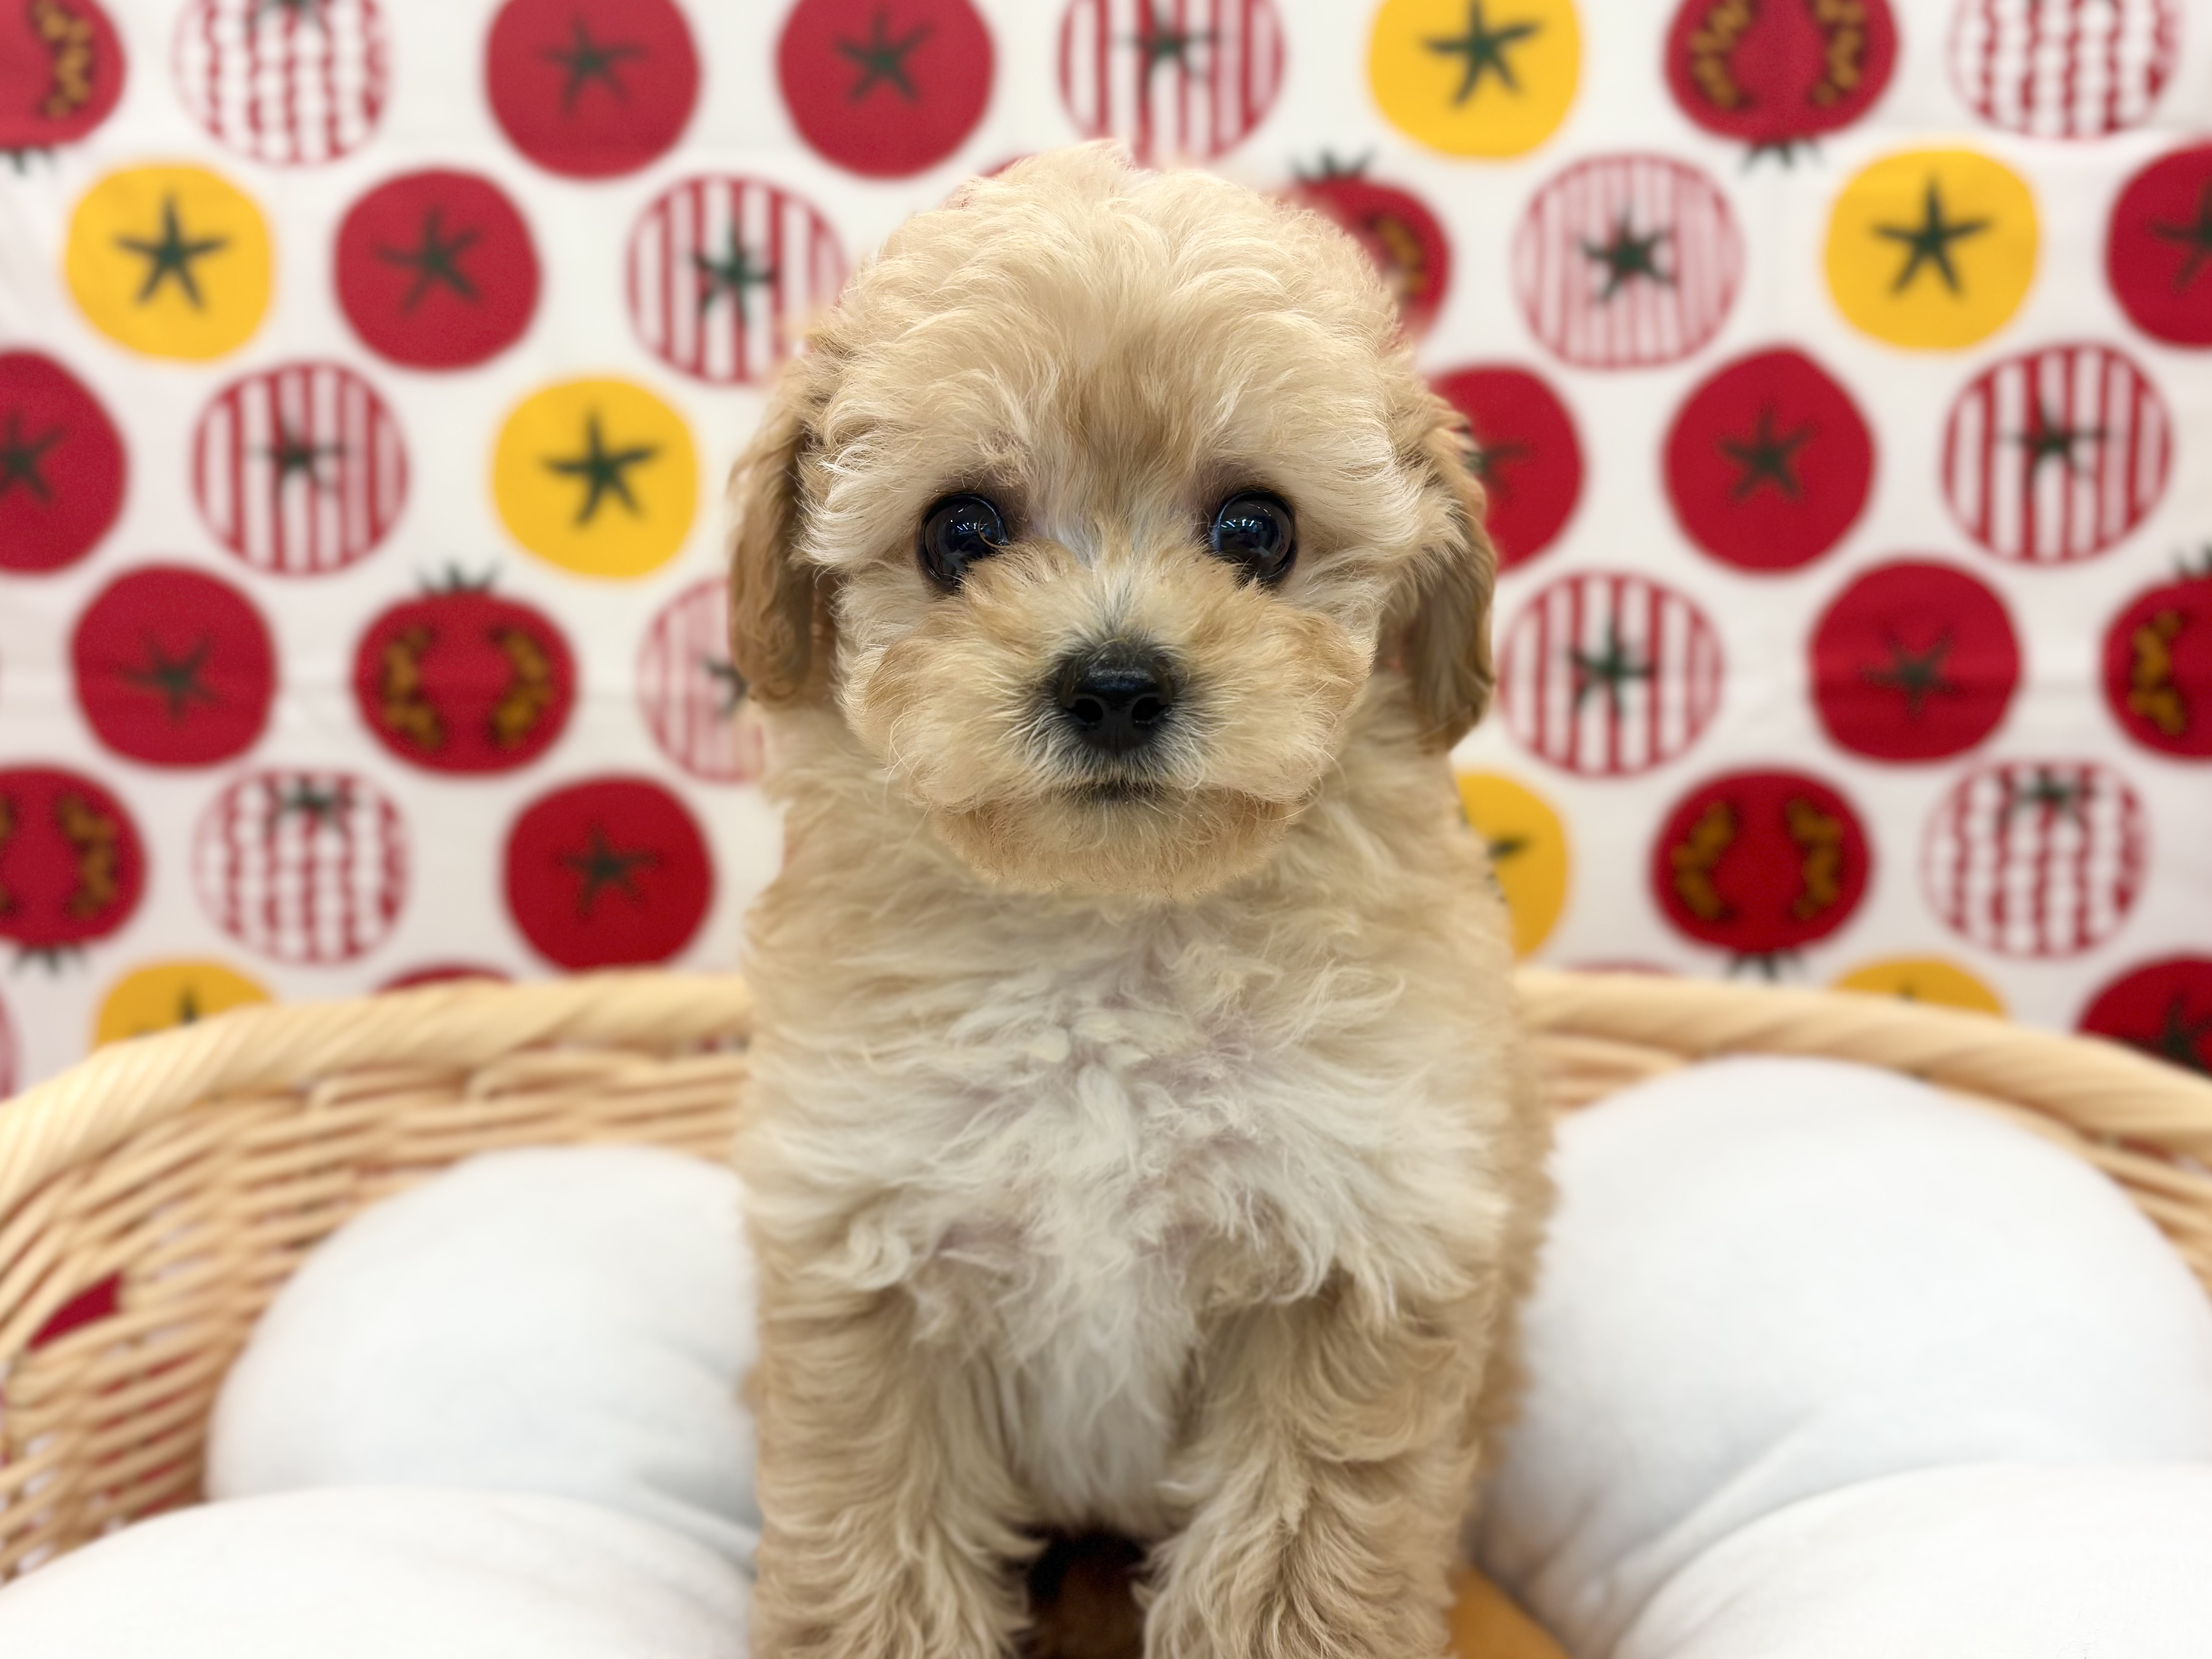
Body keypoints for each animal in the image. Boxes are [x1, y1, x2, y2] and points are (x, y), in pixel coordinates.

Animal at [727, 144, 1550, 1659]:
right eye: (957, 531)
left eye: (1255, 529)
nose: (1113, 683)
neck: (1106, 945)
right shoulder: (865, 1249)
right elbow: (878, 1543)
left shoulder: (1361, 1237)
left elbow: (1296, 1566)